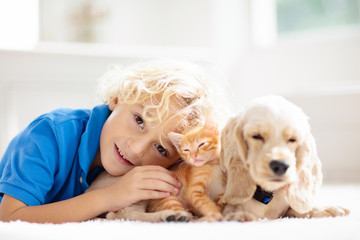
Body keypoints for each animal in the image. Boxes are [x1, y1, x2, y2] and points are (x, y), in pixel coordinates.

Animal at [221, 94, 350, 220]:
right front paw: (238, 215)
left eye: (292, 139)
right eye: (256, 136)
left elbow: (298, 209)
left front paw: (325, 209)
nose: (280, 166)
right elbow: (234, 208)